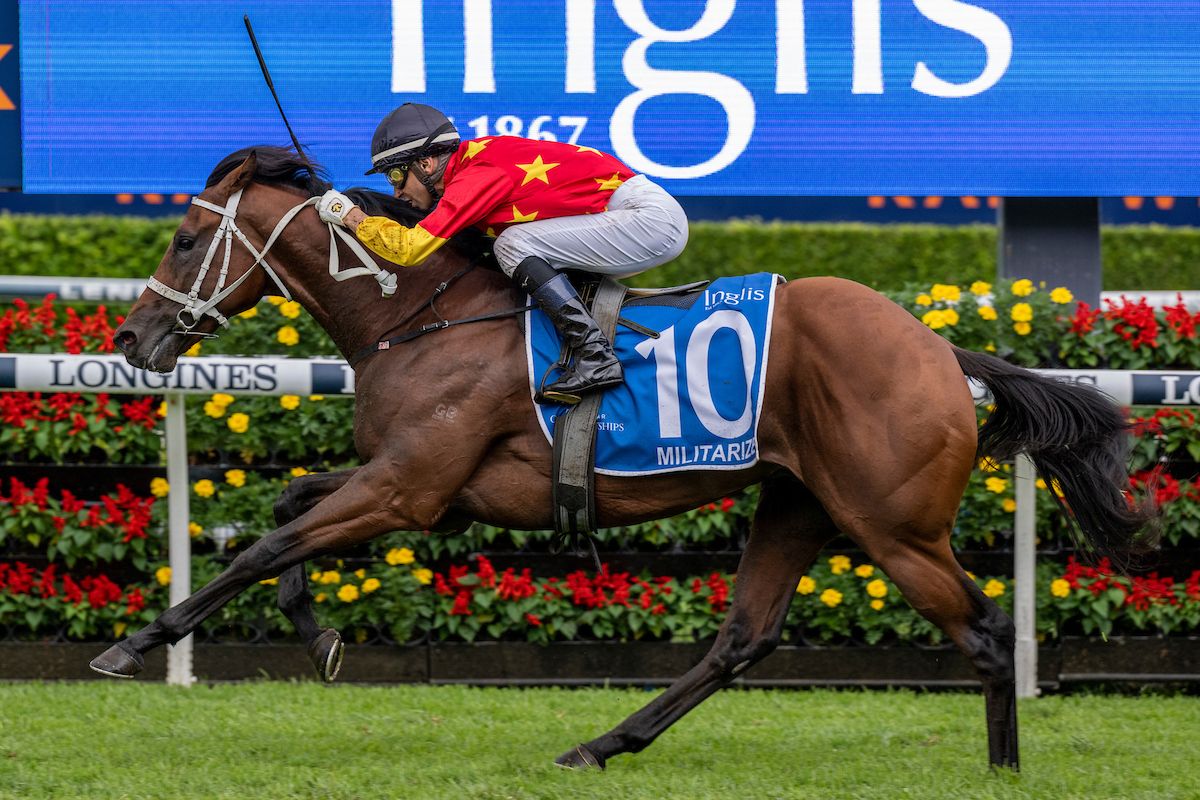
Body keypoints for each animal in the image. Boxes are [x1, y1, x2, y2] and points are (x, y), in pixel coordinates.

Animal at [94, 145, 1156, 772]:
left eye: (184, 237)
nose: (135, 338)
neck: (422, 314)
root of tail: (940, 350)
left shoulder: (409, 488)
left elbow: (259, 547)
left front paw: (135, 645)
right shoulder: (425, 488)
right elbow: (283, 516)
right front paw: (318, 636)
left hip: (892, 525)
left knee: (985, 633)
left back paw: (1004, 771)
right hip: (798, 501)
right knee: (743, 639)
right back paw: (602, 744)